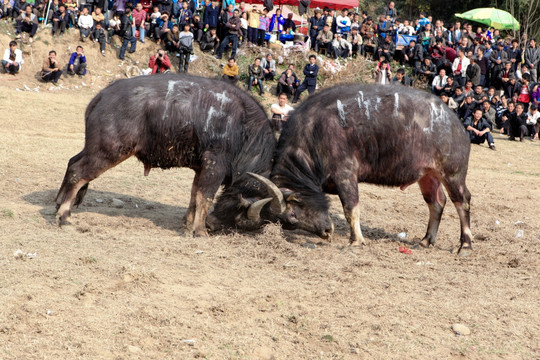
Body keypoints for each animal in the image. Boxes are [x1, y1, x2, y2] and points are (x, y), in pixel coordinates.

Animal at [55, 74, 276, 236]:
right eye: (243, 220)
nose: (212, 226)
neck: (244, 125)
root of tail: (102, 96)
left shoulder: (200, 166)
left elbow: (194, 194)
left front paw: (188, 223)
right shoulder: (215, 162)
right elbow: (205, 196)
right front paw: (199, 231)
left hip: (94, 147)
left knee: (72, 162)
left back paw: (58, 201)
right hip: (109, 150)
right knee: (78, 172)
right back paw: (64, 216)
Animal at [251, 83, 474, 256]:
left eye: (292, 215)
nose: (326, 232)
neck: (313, 132)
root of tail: (455, 123)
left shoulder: (345, 173)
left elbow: (351, 208)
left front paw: (356, 241)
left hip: (453, 174)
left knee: (462, 201)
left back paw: (465, 245)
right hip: (428, 175)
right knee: (436, 203)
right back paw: (426, 240)